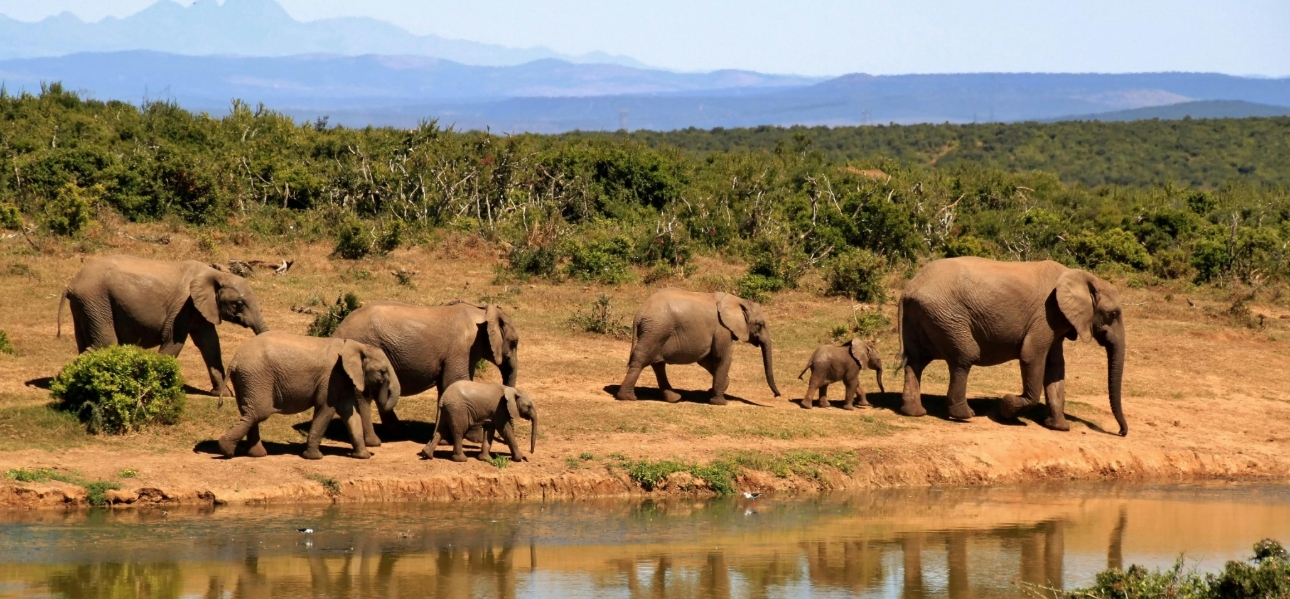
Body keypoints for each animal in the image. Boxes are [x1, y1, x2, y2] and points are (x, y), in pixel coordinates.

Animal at [58, 254, 268, 392]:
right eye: (239, 303)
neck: (214, 274)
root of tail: (71, 285)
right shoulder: (183, 306)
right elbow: (174, 341)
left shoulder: (201, 309)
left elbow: (210, 344)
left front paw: (223, 394)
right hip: (96, 300)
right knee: (105, 343)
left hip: (86, 305)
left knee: (88, 343)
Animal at [216, 331, 400, 460]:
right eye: (383, 372)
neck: (357, 346)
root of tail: (234, 360)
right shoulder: (331, 377)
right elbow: (326, 408)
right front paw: (314, 457)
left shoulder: (343, 379)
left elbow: (350, 412)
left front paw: (363, 456)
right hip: (256, 377)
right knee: (258, 412)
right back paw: (226, 449)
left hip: (247, 379)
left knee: (250, 412)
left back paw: (256, 454)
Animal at [331, 300, 518, 446]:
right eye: (514, 342)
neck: (481, 312)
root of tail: (337, 331)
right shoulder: (462, 349)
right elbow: (456, 381)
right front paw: (474, 438)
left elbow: (446, 386)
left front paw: (445, 440)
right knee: (364, 395)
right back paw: (374, 441)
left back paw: (399, 432)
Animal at [615, 289, 780, 405]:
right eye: (760, 325)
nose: (777, 395)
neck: (738, 300)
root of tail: (639, 313)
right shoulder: (722, 329)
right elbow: (722, 357)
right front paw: (720, 402)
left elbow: (706, 359)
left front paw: (712, 391)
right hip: (656, 330)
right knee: (641, 359)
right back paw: (628, 397)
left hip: (656, 331)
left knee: (658, 364)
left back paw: (674, 398)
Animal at [897, 257, 1127, 436]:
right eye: (1113, 314)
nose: (1121, 432)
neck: (1083, 277)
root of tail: (909, 289)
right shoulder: (1046, 316)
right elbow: (1031, 356)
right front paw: (1006, 408)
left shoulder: (1057, 322)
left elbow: (1056, 368)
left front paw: (1059, 427)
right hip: (947, 316)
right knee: (964, 356)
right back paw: (965, 415)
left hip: (923, 317)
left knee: (916, 361)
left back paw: (914, 412)